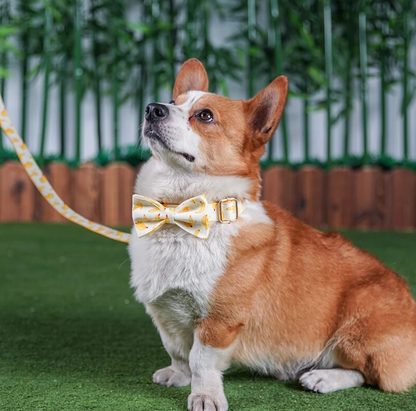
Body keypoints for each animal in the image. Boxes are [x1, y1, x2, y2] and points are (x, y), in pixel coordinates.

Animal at [128, 58, 416, 411]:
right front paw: (178, 375)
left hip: (356, 328)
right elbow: (178, 351)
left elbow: (200, 360)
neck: (181, 213)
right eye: (172, 102)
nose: (151, 109)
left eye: (205, 115)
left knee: (369, 374)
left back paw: (323, 377)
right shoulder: (165, 312)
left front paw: (205, 396)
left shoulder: (220, 321)